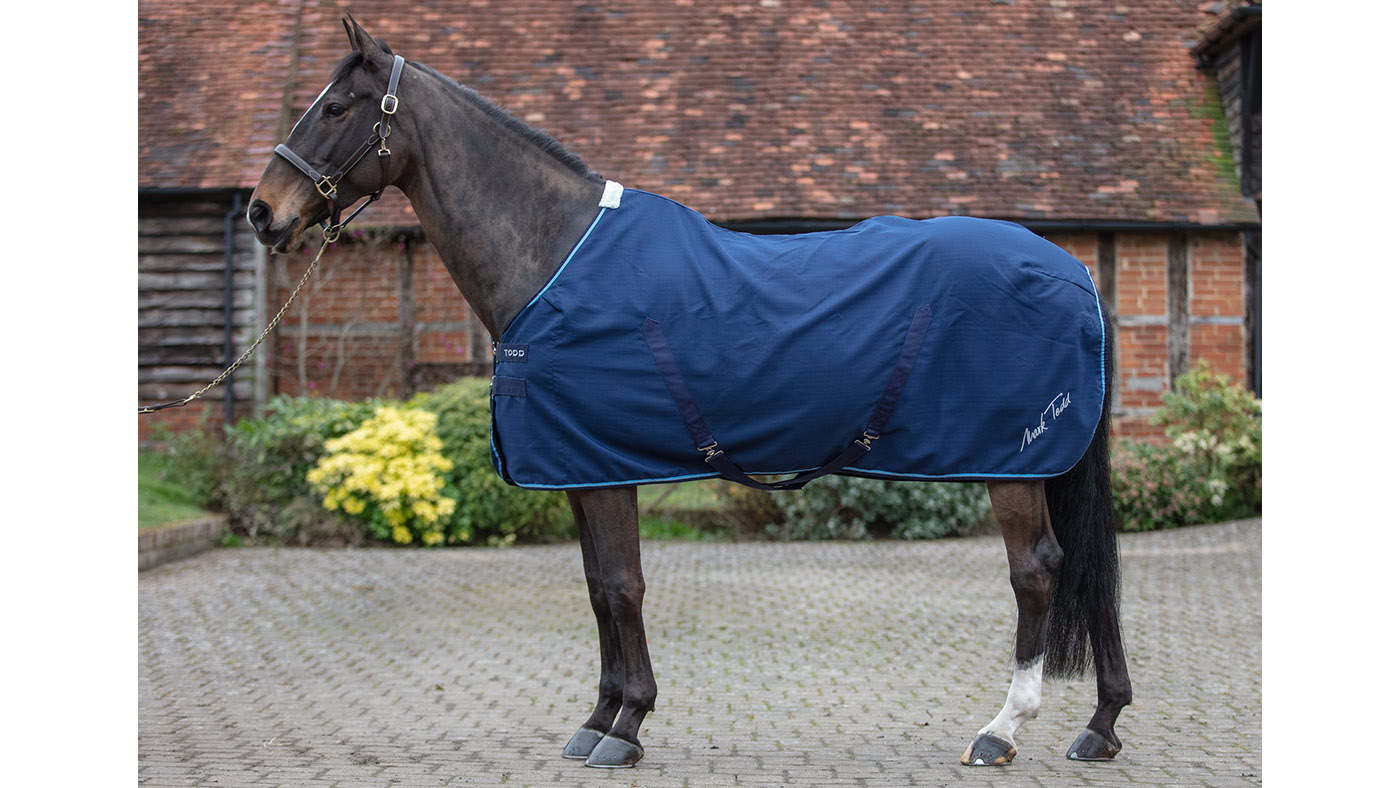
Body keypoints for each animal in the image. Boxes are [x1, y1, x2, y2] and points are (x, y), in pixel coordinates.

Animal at [247, 17, 1131, 769]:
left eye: (334, 107)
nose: (262, 212)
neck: (554, 254)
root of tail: (1075, 272)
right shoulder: (583, 469)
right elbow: (599, 591)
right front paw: (598, 718)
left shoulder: (606, 470)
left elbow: (622, 587)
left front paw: (627, 724)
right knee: (1088, 574)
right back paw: (1101, 725)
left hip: (1012, 463)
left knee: (1039, 571)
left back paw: (1002, 729)